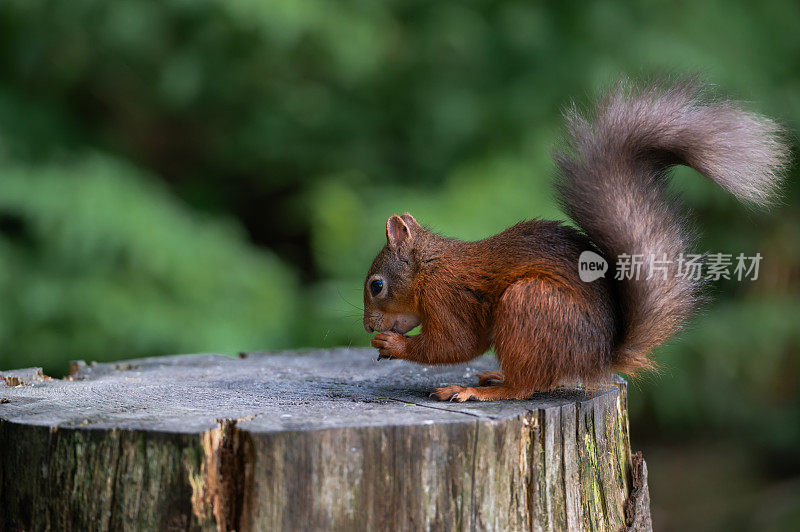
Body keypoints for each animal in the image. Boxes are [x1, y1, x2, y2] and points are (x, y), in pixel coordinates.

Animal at [362, 78, 788, 404]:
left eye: (376, 286)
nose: (367, 327)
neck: (428, 267)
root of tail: (598, 359)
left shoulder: (448, 296)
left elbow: (457, 344)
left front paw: (394, 345)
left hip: (530, 304)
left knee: (525, 387)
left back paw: (482, 391)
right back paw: (497, 378)